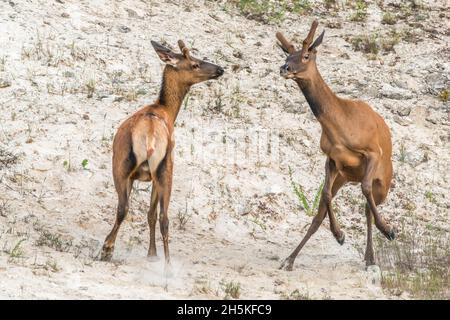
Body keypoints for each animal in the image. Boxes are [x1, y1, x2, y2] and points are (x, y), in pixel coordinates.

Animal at [100, 38, 223, 272]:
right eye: (194, 63)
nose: (220, 69)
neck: (167, 110)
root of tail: (148, 137)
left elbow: (148, 213)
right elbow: (152, 214)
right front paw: (152, 254)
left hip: (122, 164)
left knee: (123, 207)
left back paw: (107, 249)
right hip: (165, 167)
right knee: (163, 217)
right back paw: (166, 265)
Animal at [276, 20, 396, 270]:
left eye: (306, 55)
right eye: (287, 54)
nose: (284, 68)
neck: (341, 126)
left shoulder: (372, 151)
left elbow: (365, 190)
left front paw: (388, 229)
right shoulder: (331, 158)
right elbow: (326, 195)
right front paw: (339, 234)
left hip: (384, 181)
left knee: (368, 207)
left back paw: (371, 255)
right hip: (344, 176)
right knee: (320, 212)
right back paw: (290, 259)